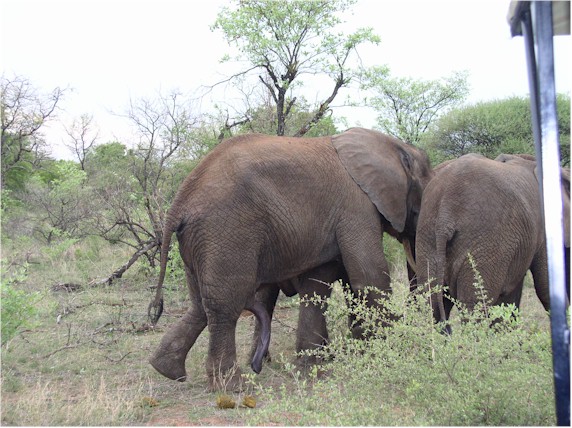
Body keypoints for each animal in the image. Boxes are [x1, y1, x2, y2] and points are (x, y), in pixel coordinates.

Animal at [147, 127, 433, 390]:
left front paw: (315, 366)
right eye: (421, 203)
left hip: (202, 239)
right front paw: (394, 350)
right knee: (225, 304)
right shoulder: (356, 206)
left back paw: (167, 370)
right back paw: (234, 386)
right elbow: (369, 277)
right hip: (225, 231)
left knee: (200, 304)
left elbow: (319, 285)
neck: (393, 145)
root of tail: (181, 199)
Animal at [415, 153, 570, 327]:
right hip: (485, 242)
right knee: (475, 308)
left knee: (432, 303)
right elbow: (545, 286)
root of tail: (445, 212)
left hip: (428, 235)